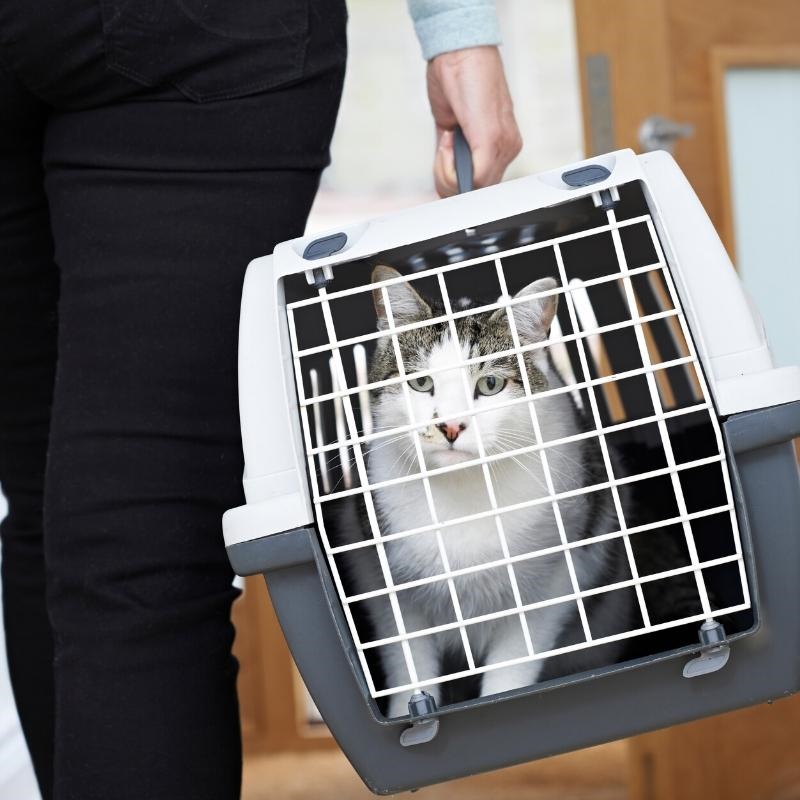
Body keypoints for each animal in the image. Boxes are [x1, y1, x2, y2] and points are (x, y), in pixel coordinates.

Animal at [362, 264, 632, 720]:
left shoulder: (554, 581)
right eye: (421, 382)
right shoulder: (387, 583)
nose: (451, 426)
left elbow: (512, 666)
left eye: (490, 384)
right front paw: (409, 713)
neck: (467, 493)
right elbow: (409, 665)